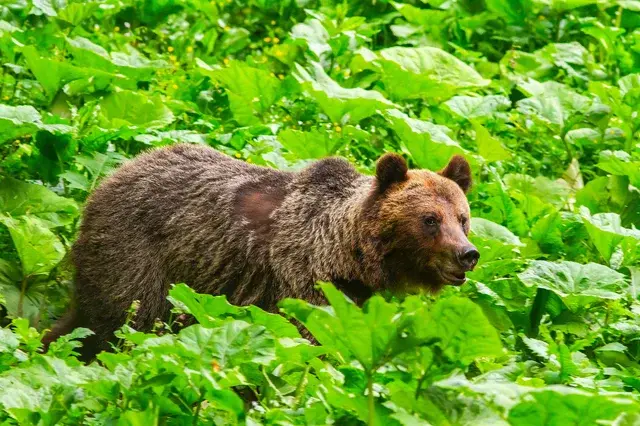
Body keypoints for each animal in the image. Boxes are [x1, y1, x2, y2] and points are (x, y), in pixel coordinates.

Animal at [43, 144, 479, 357]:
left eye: (463, 218)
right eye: (429, 219)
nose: (467, 254)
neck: (346, 255)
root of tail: (110, 178)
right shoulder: (302, 283)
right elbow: (306, 345)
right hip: (140, 257)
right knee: (129, 323)